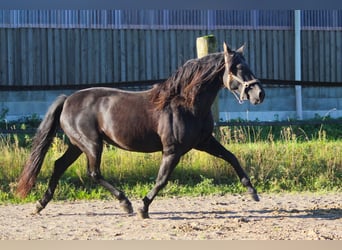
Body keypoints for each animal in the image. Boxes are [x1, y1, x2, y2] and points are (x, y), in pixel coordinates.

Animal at [16, 42, 264, 218]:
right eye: (237, 68)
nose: (259, 94)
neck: (185, 103)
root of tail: (67, 100)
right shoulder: (172, 150)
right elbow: (162, 179)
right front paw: (144, 208)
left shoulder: (204, 142)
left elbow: (231, 157)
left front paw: (253, 193)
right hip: (92, 144)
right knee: (93, 173)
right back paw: (125, 204)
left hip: (77, 145)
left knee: (59, 166)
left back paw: (39, 205)